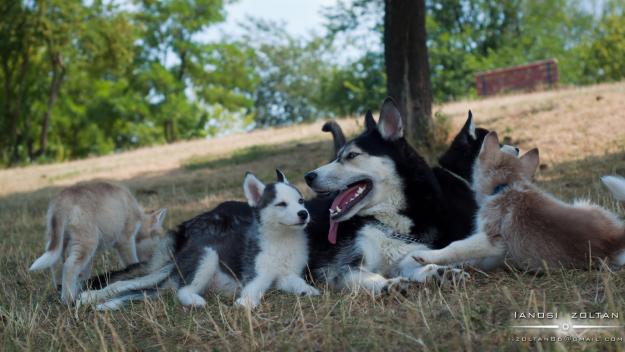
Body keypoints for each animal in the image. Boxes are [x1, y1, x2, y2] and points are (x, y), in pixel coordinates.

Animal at [29, 182, 167, 302]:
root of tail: (63, 199)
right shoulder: (126, 240)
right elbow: (132, 261)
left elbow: (84, 272)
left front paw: (83, 287)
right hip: (86, 240)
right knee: (69, 266)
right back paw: (68, 299)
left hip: (58, 239)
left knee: (57, 264)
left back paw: (60, 289)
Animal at [412, 133, 624, 272]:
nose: (515, 147)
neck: (504, 187)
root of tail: (614, 238)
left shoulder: (493, 240)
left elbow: (457, 246)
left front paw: (428, 257)